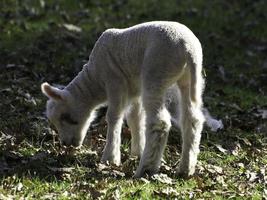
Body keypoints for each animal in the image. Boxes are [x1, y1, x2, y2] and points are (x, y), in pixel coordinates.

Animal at [41, 21, 205, 178]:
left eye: (66, 118)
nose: (66, 144)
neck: (95, 80)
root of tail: (188, 49)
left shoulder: (114, 81)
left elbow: (114, 117)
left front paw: (110, 158)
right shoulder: (135, 89)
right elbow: (135, 118)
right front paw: (137, 152)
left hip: (156, 73)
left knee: (160, 122)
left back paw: (145, 169)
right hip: (189, 80)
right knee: (192, 120)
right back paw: (185, 169)